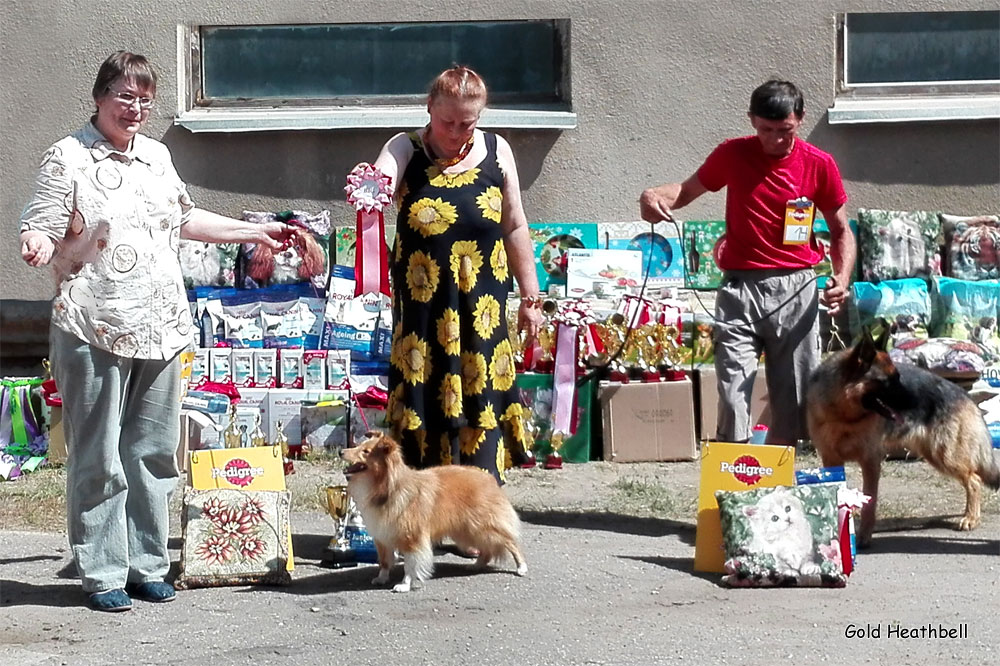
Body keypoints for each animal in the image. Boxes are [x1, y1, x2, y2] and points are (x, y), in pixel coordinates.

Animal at [340, 430, 528, 592]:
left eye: (366, 451)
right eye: (358, 446)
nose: (341, 451)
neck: (387, 489)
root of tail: (489, 477)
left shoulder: (411, 538)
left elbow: (410, 565)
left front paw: (404, 585)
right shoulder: (382, 536)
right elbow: (385, 561)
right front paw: (382, 578)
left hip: (483, 527)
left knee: (510, 542)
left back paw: (521, 567)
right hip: (467, 531)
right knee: (487, 550)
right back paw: (476, 565)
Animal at [808, 326, 996, 544]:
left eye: (898, 377)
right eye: (887, 382)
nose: (916, 401)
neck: (845, 417)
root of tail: (964, 393)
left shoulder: (871, 462)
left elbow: (870, 502)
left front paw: (864, 536)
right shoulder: (831, 461)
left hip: (945, 456)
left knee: (974, 480)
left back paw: (970, 518)